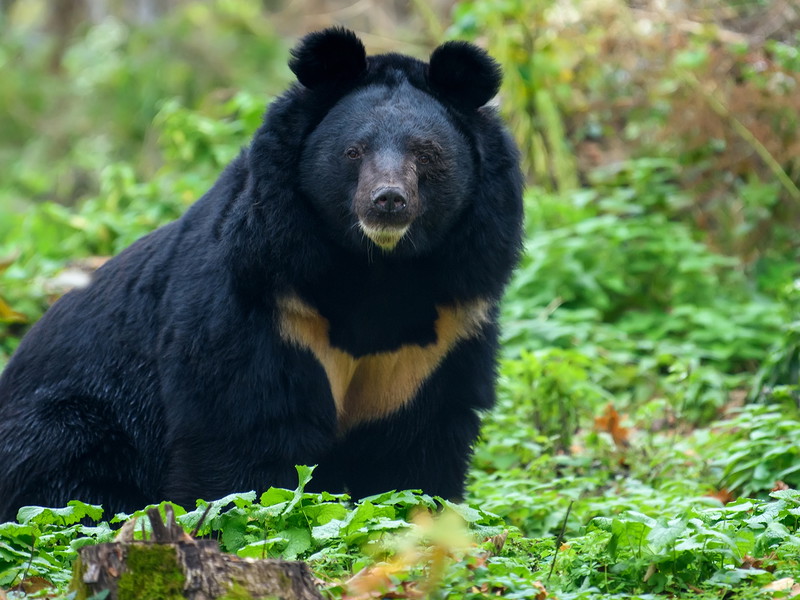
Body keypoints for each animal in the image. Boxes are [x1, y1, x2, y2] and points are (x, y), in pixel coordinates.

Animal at [0, 28, 523, 522]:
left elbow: (417, 445)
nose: (388, 201)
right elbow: (242, 428)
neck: (377, 269)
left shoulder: (441, 335)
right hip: (73, 417)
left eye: (427, 153)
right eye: (354, 152)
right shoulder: (264, 302)